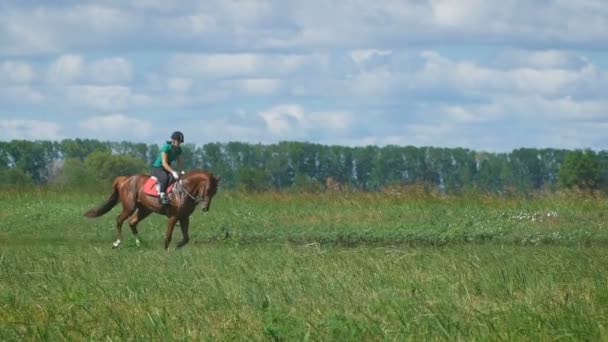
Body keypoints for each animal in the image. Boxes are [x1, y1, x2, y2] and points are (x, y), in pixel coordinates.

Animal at [84, 170, 220, 248]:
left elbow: (186, 238)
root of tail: (125, 179)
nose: (205, 208)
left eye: (215, 192)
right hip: (130, 207)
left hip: (145, 210)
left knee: (132, 222)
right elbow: (168, 237)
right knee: (119, 220)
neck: (184, 190)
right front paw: (167, 251)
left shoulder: (184, 217)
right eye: (208, 189)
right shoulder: (173, 217)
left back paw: (139, 243)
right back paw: (117, 242)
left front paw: (178, 246)